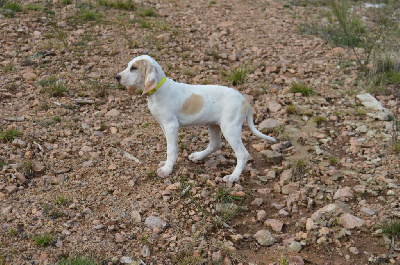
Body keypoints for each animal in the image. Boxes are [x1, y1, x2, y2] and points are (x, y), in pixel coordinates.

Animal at [116, 54, 276, 183]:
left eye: (134, 68)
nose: (117, 77)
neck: (158, 89)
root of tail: (245, 101)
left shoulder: (171, 126)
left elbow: (171, 149)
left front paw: (167, 169)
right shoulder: (163, 125)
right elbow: (170, 148)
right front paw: (167, 164)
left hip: (230, 128)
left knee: (242, 154)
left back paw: (233, 177)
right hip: (214, 125)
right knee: (215, 144)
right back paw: (198, 156)